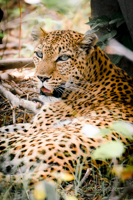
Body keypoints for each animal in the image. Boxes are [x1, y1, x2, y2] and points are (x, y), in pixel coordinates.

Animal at [0, 28, 133, 188]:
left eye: (63, 58)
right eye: (39, 54)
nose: (41, 78)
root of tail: (63, 165)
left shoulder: (36, 128)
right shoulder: (34, 125)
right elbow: (9, 127)